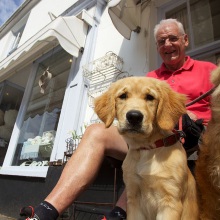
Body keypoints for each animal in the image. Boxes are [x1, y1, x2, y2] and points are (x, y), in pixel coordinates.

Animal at [94, 76, 199, 219]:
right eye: (123, 96)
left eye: (150, 97)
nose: (134, 116)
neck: (147, 148)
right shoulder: (133, 197)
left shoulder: (170, 201)